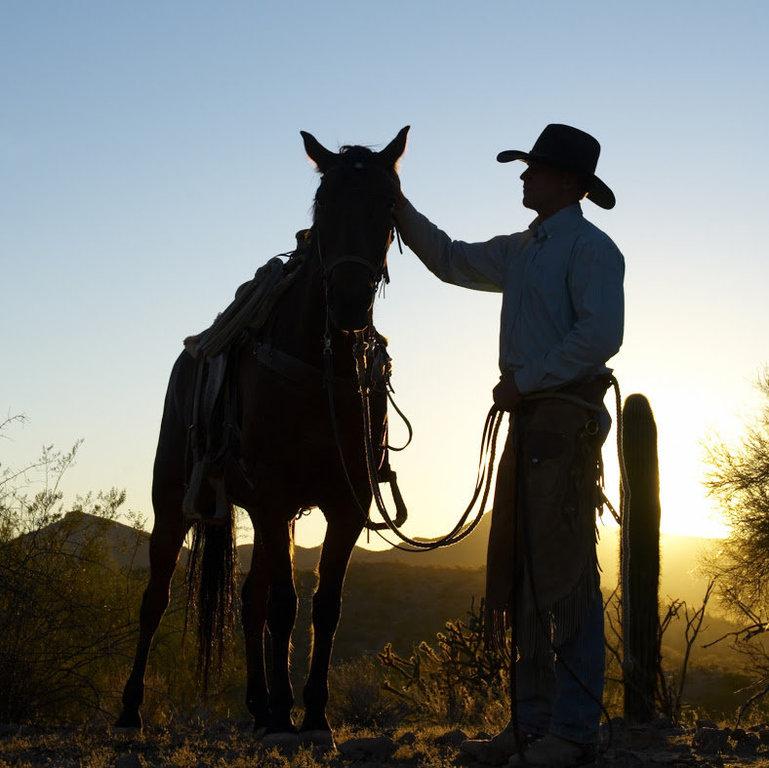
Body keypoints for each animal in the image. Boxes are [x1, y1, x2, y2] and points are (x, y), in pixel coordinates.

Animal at [114, 124, 408, 744]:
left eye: (388, 206)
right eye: (323, 205)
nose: (349, 302)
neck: (320, 370)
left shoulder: (344, 505)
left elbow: (324, 606)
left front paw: (313, 715)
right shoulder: (274, 499)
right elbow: (285, 606)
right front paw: (287, 715)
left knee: (248, 599)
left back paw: (259, 704)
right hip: (172, 504)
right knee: (157, 597)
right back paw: (132, 709)